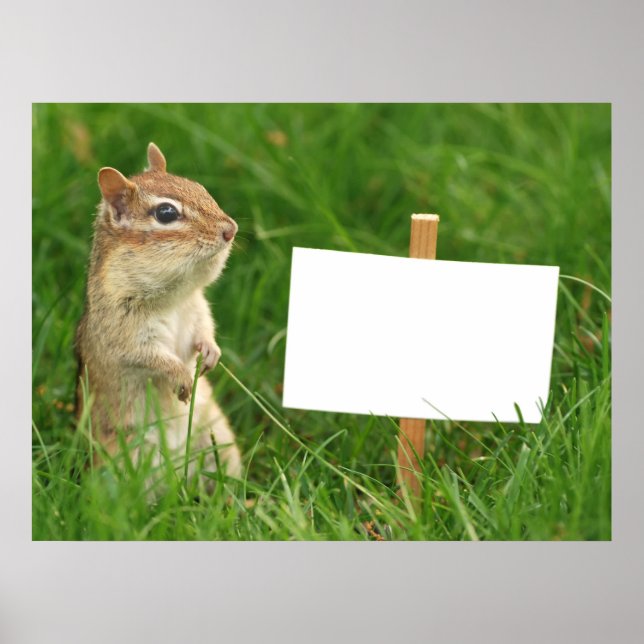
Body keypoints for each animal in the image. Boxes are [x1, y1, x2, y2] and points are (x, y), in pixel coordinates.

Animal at [74, 142, 241, 482]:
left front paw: (211, 353)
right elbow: (149, 357)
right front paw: (181, 376)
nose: (231, 229)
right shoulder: (123, 333)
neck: (173, 299)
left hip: (220, 440)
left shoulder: (198, 309)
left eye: (201, 188)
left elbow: (205, 332)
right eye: (166, 213)